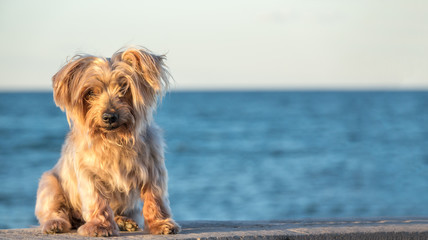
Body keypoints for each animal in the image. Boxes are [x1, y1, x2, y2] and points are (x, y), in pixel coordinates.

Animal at [34, 47, 180, 236]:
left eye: (124, 87)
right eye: (90, 92)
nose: (109, 116)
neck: (115, 138)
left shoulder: (153, 168)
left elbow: (155, 198)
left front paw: (160, 223)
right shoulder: (89, 173)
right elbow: (97, 199)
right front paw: (100, 226)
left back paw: (124, 222)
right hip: (50, 183)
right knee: (53, 209)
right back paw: (55, 223)